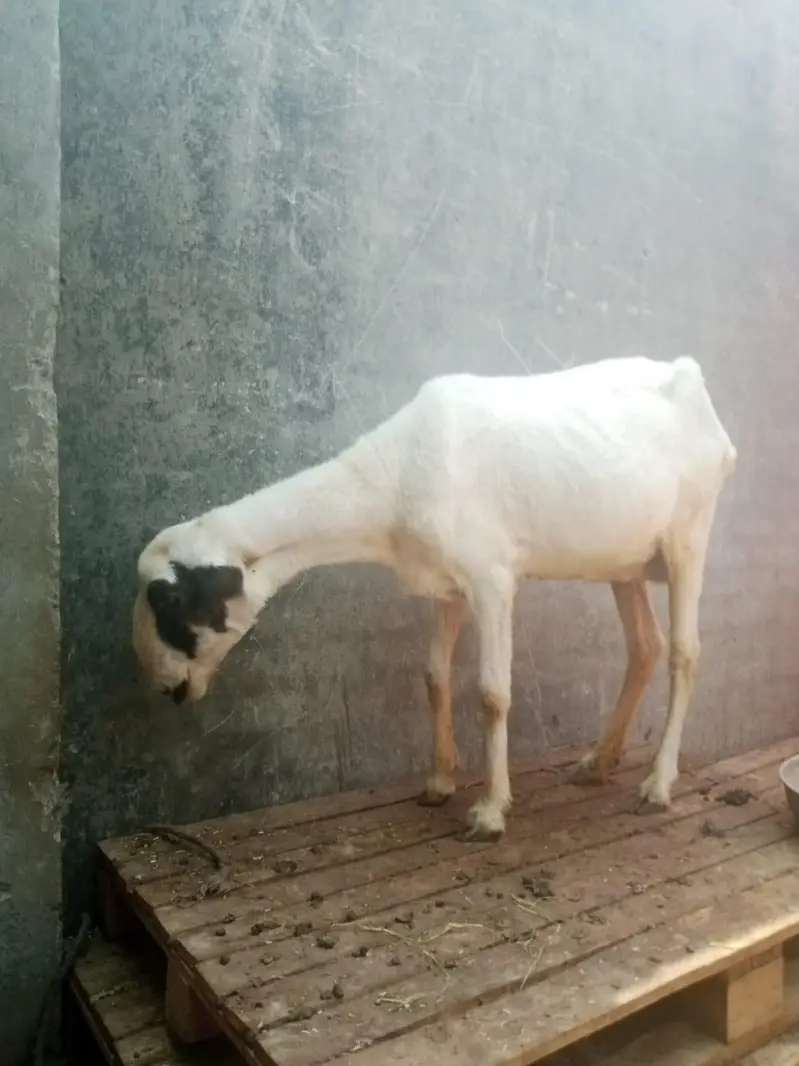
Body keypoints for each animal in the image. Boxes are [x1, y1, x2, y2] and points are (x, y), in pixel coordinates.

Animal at [133, 355, 737, 841]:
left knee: (685, 653)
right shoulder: (449, 585)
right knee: (644, 647)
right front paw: (440, 781)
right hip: (625, 560)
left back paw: (657, 784)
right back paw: (600, 761)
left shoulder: (492, 578)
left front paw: (491, 811)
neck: (390, 482)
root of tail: (694, 384)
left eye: (170, 602)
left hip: (689, 536)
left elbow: (493, 693)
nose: (166, 688)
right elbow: (434, 676)